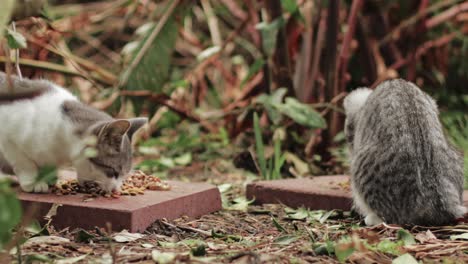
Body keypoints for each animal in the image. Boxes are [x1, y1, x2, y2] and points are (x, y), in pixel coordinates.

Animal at [0, 72, 146, 194]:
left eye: (125, 175)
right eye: (113, 172)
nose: (116, 190)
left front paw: (48, 176)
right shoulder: (8, 137)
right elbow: (24, 163)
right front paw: (33, 182)